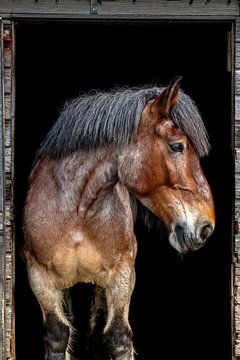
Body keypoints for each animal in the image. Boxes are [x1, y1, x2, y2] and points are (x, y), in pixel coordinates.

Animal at [21, 76, 215, 360]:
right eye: (177, 146)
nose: (205, 227)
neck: (77, 212)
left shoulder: (122, 275)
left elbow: (118, 337)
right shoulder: (39, 276)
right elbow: (57, 335)